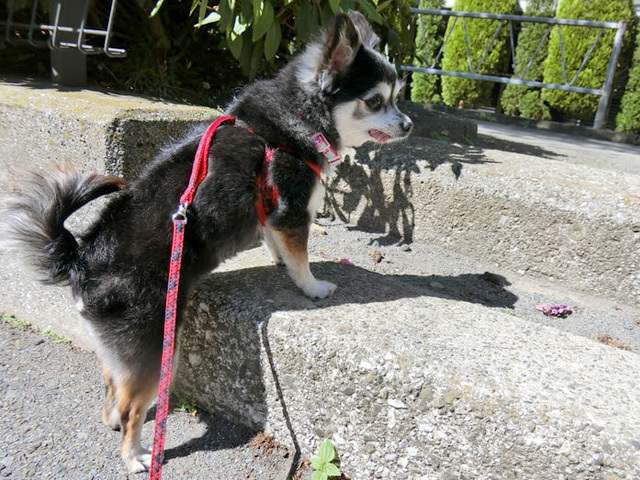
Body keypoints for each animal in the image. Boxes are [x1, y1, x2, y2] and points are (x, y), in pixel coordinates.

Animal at [1, 11, 412, 473]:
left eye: (398, 98)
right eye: (376, 102)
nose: (409, 124)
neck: (298, 119)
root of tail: (82, 259)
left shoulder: (272, 216)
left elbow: (276, 244)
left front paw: (280, 264)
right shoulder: (292, 208)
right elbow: (300, 255)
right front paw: (312, 286)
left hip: (120, 349)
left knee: (111, 388)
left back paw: (114, 423)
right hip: (158, 348)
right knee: (131, 408)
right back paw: (136, 455)